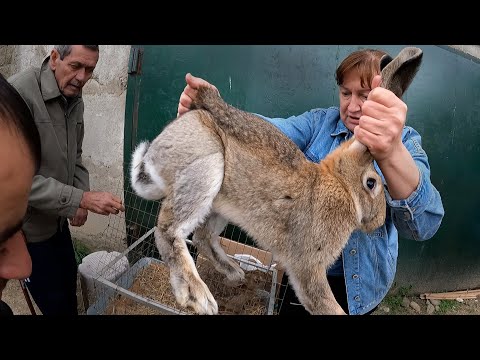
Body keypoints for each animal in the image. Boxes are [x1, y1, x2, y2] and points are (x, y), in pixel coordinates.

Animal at [129, 46, 422, 314]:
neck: (340, 186)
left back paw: (235, 273)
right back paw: (198, 298)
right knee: (167, 230)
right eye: (372, 183)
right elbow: (324, 302)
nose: (378, 221)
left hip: (220, 202)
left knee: (203, 237)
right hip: (206, 166)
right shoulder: (308, 266)